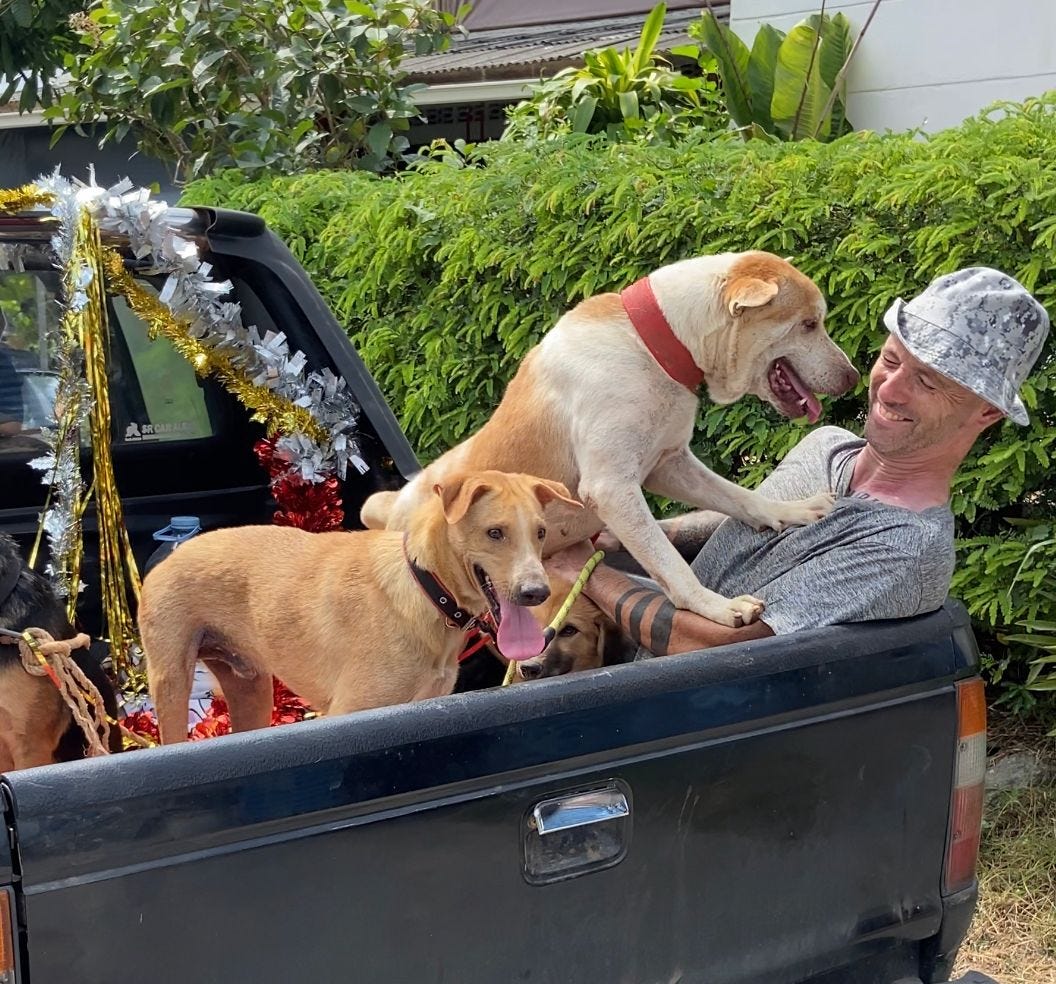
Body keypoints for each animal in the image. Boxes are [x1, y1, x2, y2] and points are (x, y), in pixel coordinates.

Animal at [136, 472, 582, 743]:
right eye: (495, 533)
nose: (537, 592)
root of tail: (169, 557)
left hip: (252, 691)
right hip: (172, 685)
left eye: (541, 533)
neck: (423, 591)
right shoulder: (346, 713)